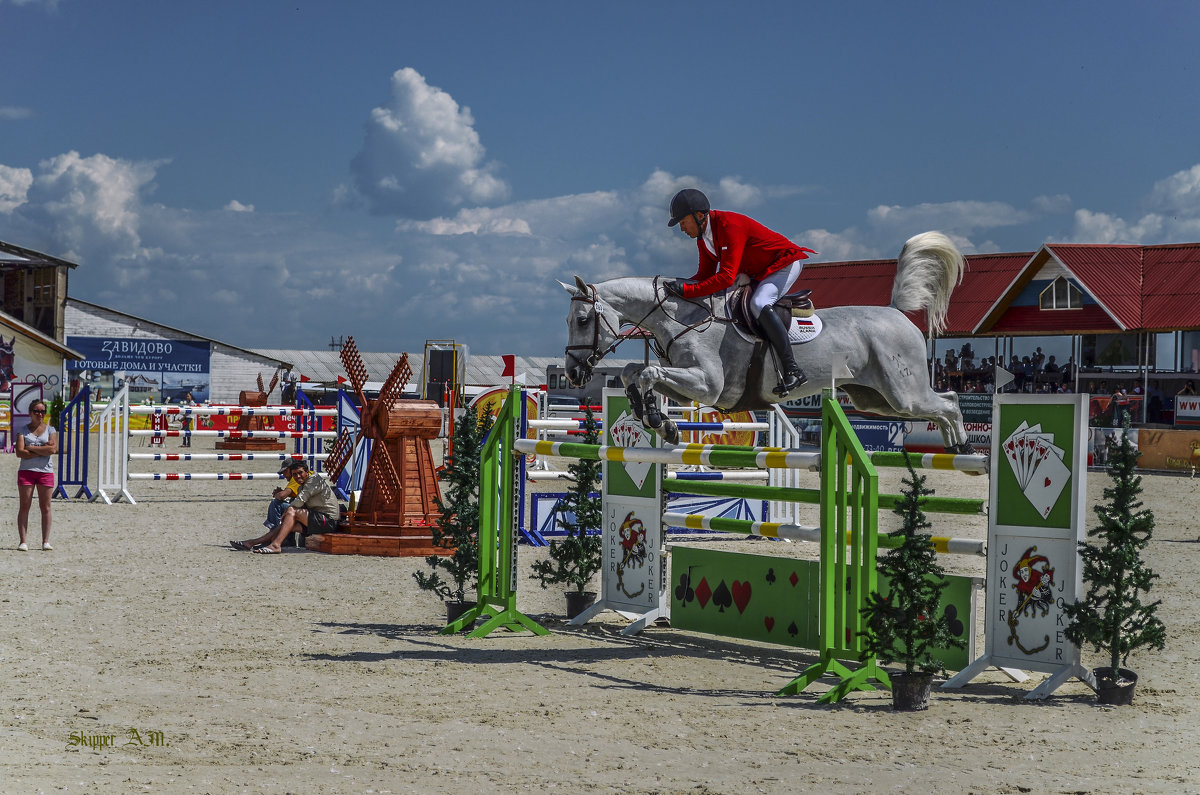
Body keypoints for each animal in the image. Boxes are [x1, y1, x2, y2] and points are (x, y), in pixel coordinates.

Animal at [564, 230, 974, 453]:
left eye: (582, 320)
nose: (572, 373)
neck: (683, 319)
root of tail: (896, 313)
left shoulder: (709, 385)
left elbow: (647, 372)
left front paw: (657, 420)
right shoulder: (687, 385)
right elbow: (635, 371)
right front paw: (651, 414)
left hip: (903, 393)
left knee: (948, 403)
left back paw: (964, 447)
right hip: (876, 399)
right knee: (944, 403)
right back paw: (956, 445)